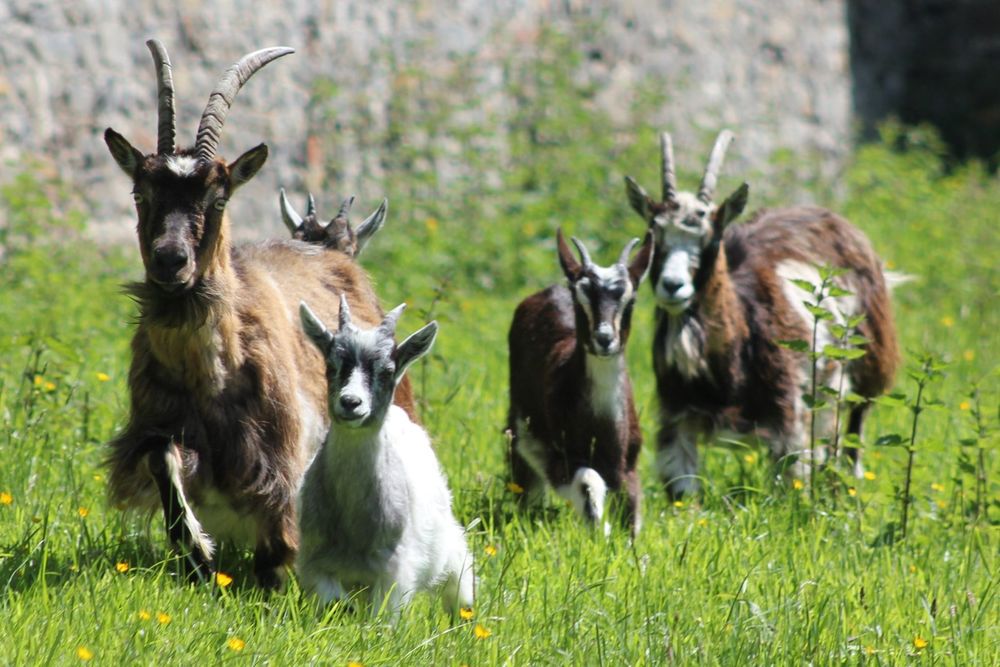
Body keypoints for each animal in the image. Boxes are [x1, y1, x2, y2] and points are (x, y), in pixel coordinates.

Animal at [102, 40, 414, 588]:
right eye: (141, 193)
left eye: (218, 197)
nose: (170, 260)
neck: (210, 377)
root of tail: (333, 251)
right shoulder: (163, 430)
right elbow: (163, 459)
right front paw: (198, 550)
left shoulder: (279, 461)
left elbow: (277, 546)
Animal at [297, 297, 474, 617]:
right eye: (331, 365)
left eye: (387, 370)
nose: (350, 403)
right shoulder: (316, 562)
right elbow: (334, 604)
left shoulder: (392, 572)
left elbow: (380, 620)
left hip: (446, 545)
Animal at [506, 229, 652, 536]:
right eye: (579, 298)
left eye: (630, 300)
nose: (604, 338)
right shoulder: (562, 457)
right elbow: (587, 484)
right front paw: (602, 532)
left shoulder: (628, 464)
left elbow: (631, 516)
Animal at [624, 130, 900, 497]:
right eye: (653, 235)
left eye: (711, 239)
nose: (672, 286)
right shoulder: (676, 417)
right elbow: (683, 492)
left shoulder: (789, 415)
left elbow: (792, 482)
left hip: (868, 365)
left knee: (854, 426)